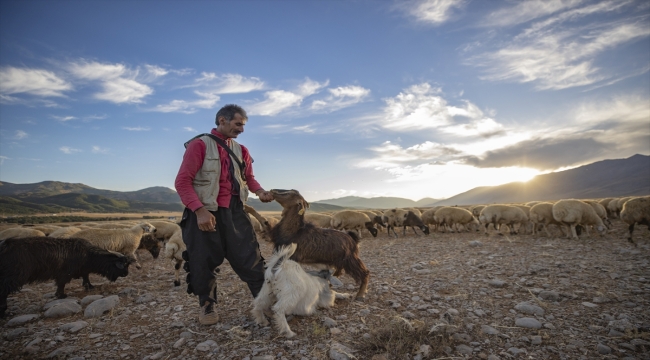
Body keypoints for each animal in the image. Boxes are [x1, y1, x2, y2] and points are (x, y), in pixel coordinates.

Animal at [0, 238, 134, 316]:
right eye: (123, 265)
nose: (126, 274)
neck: (88, 255)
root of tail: (5, 245)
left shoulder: (83, 270)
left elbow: (86, 277)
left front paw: (89, 286)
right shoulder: (64, 273)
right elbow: (62, 283)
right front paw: (61, 295)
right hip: (13, 276)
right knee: (3, 290)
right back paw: (4, 311)